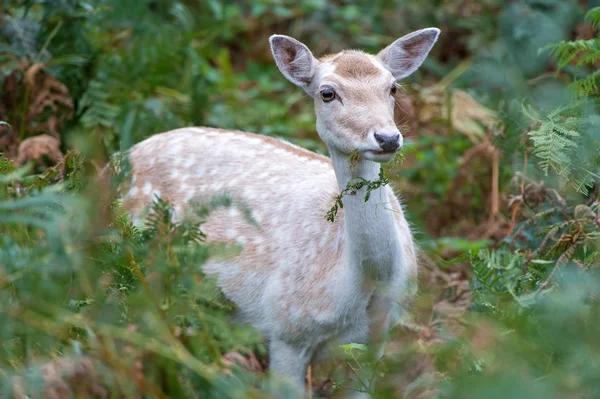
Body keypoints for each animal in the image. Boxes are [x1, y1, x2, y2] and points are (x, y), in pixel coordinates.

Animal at [111, 27, 440, 396]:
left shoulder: (377, 340)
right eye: (327, 93)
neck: (364, 286)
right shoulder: (286, 330)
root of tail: (114, 161)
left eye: (393, 87)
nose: (387, 138)